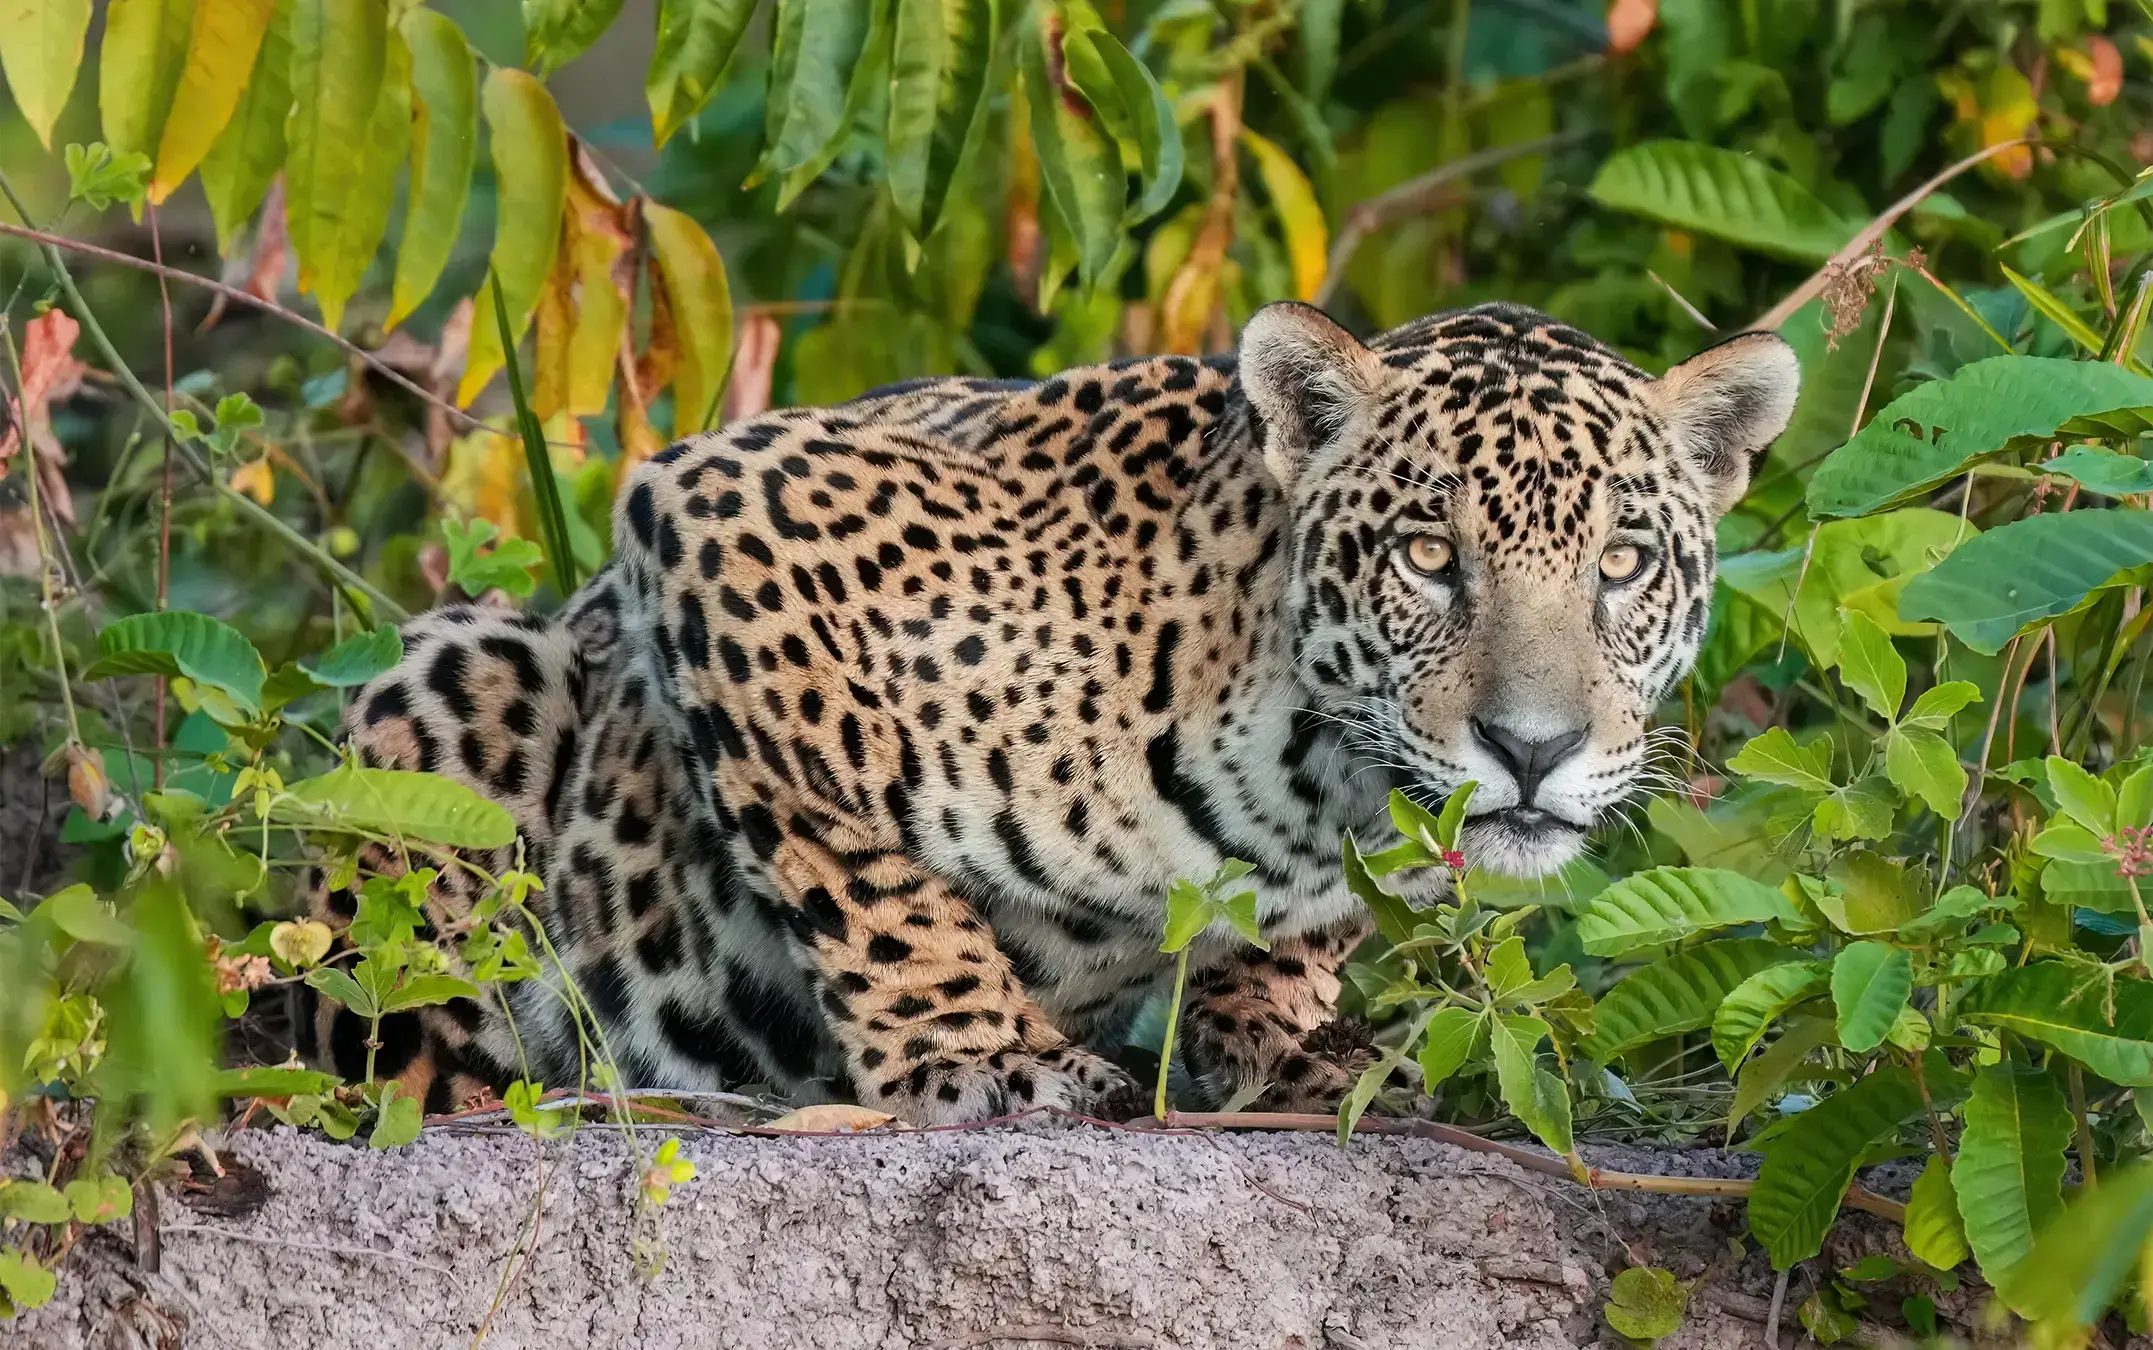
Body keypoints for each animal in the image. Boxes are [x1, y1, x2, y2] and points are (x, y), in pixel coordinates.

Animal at [298, 300, 1800, 1126]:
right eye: (1430, 555)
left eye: (1624, 563)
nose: (1532, 750)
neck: (1311, 771)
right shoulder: (728, 507)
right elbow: (862, 874)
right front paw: (980, 1055)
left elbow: (1300, 943)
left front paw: (1286, 1032)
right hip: (457, 673)